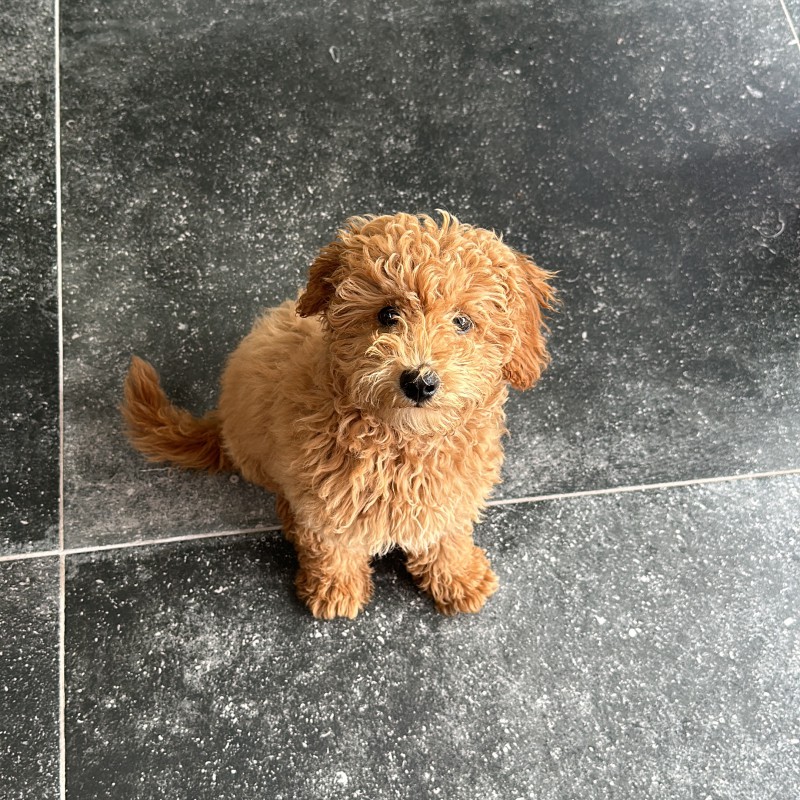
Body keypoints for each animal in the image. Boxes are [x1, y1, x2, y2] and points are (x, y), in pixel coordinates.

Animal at [122, 212, 555, 619]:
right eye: (387, 314)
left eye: (462, 322)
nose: (419, 382)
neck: (400, 444)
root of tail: (221, 421)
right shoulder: (323, 498)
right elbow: (331, 546)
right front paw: (336, 590)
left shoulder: (450, 495)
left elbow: (447, 537)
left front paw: (459, 577)